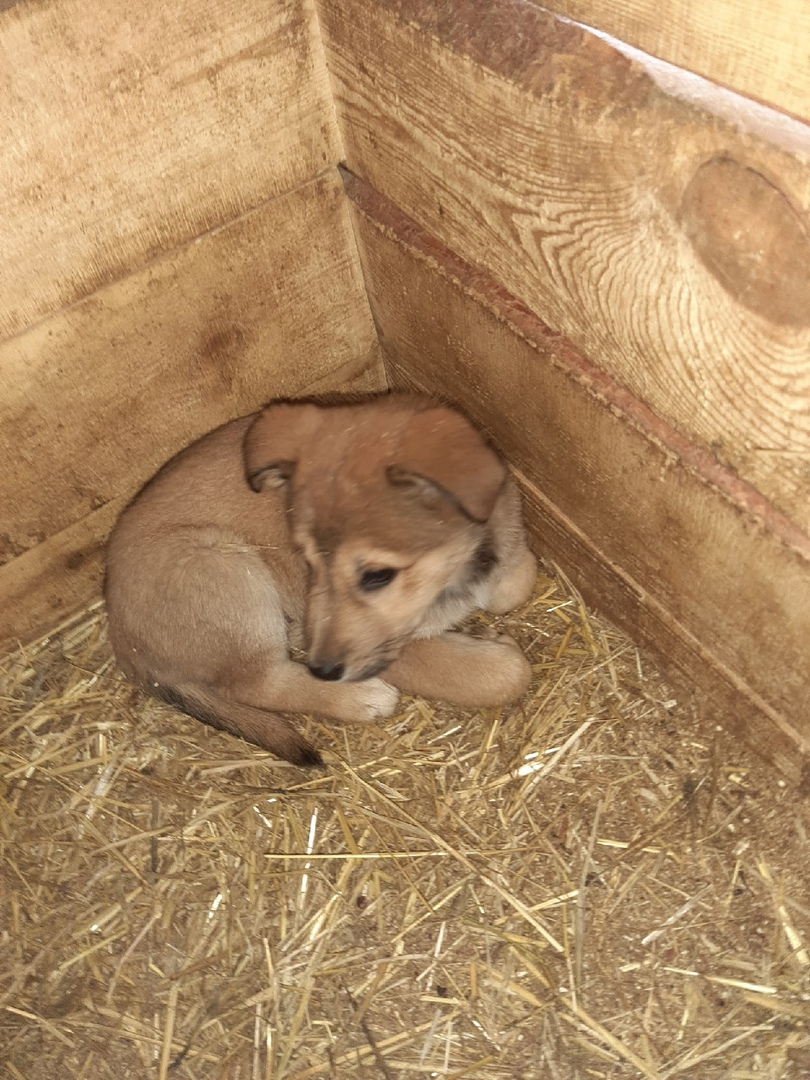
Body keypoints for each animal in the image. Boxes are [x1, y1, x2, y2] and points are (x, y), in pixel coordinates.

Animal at [106, 393, 540, 764]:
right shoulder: (375, 646)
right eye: (308, 560)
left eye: (377, 575)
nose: (324, 669)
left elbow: (517, 582)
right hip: (227, 573)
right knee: (258, 684)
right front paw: (497, 650)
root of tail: (122, 642)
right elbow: (500, 674)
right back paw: (361, 699)